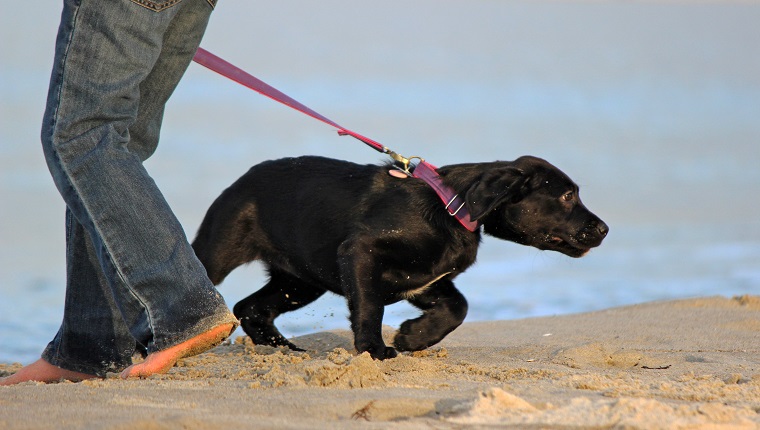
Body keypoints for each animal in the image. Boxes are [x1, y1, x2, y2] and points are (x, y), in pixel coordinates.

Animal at [193, 155, 608, 360]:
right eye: (566, 196)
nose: (604, 229)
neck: (453, 207)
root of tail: (243, 178)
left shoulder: (426, 279)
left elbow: (458, 307)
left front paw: (414, 337)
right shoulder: (361, 254)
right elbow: (370, 306)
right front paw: (375, 351)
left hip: (299, 279)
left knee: (251, 308)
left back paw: (283, 350)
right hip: (219, 252)